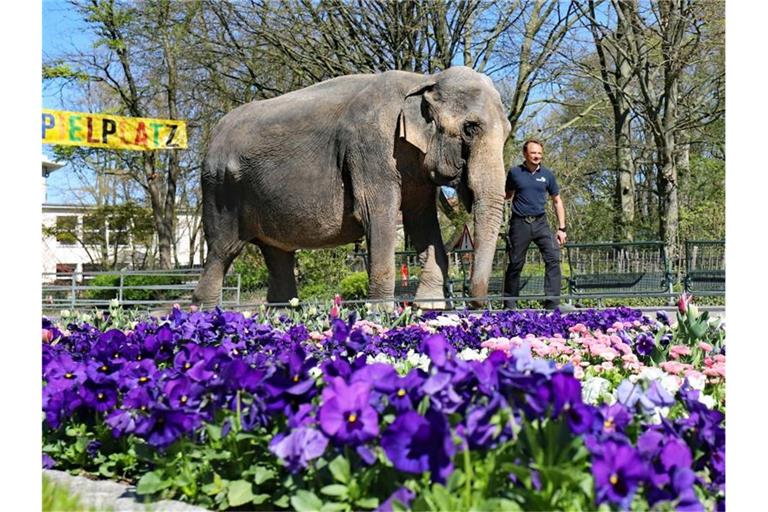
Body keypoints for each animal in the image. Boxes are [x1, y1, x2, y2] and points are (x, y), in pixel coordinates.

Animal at [192, 66, 510, 310]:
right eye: (470, 128)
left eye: (507, 132)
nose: (476, 303)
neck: (423, 79)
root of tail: (214, 136)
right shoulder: (371, 150)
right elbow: (379, 216)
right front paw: (381, 313)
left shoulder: (415, 170)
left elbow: (422, 223)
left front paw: (429, 309)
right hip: (221, 192)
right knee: (222, 252)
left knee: (279, 255)